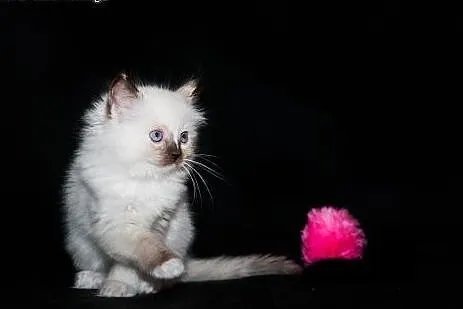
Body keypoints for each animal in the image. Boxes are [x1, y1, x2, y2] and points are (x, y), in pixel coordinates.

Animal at [61, 72, 302, 296]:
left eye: (184, 138)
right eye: (157, 136)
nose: (177, 155)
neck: (147, 179)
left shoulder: (159, 223)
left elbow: (129, 265)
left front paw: (128, 283)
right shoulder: (114, 225)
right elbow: (140, 249)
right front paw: (119, 286)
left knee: (175, 280)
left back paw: (151, 285)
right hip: (80, 244)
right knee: (98, 267)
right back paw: (91, 279)